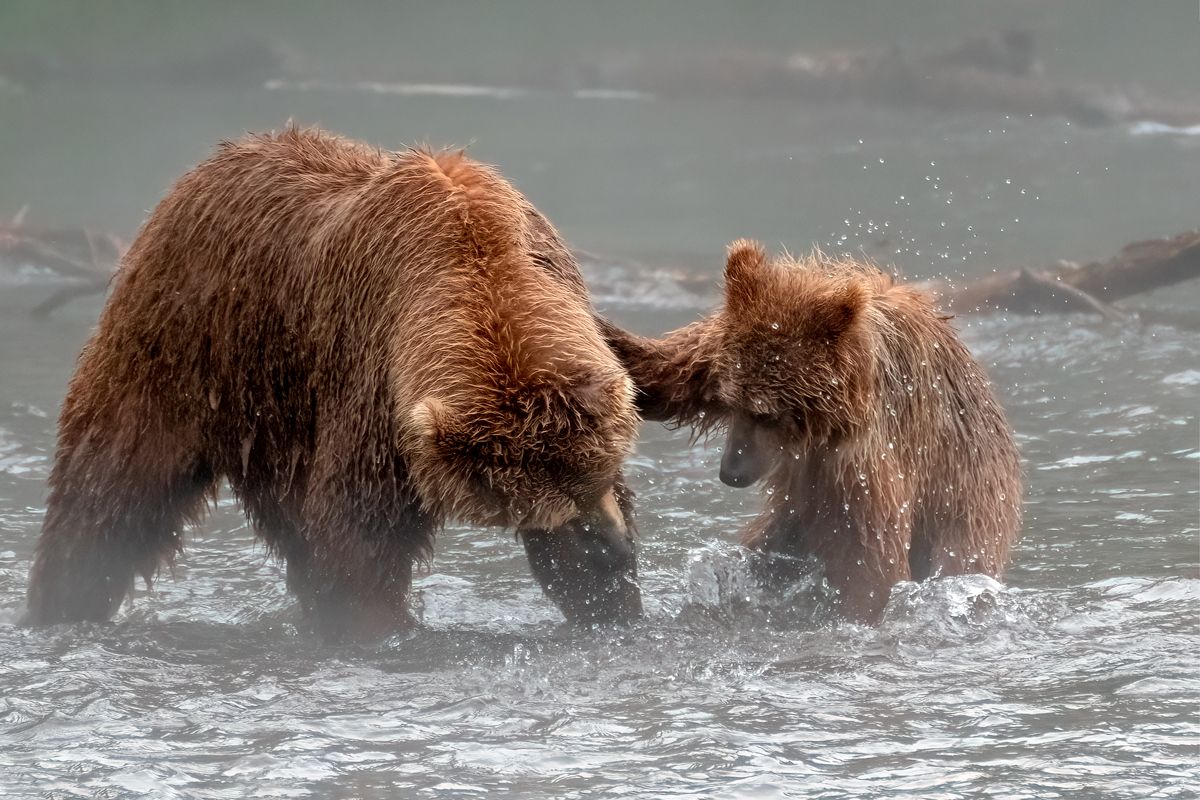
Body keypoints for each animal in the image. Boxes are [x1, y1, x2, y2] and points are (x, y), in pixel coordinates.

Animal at [23, 126, 638, 638]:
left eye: (599, 475)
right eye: (561, 500)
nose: (612, 549)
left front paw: (611, 606)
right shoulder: (371, 388)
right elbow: (358, 533)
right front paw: (380, 627)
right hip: (177, 351)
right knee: (106, 495)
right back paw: (58, 606)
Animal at [600, 241, 1022, 623]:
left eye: (768, 414)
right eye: (730, 399)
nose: (731, 472)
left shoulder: (865, 457)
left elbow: (871, 556)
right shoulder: (715, 348)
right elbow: (668, 373)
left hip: (966, 505)